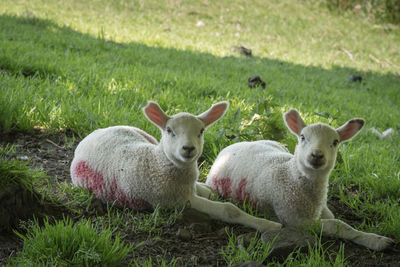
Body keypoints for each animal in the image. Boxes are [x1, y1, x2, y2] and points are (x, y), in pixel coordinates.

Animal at [69, 100, 282, 232]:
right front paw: (270, 226)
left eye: (201, 131)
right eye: (170, 130)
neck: (157, 162)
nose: (188, 148)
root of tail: (94, 134)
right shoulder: (177, 200)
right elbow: (229, 210)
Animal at [206, 108, 394, 251]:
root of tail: (229, 148)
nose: (317, 155)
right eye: (303, 137)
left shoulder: (320, 209)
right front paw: (377, 241)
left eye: (335, 142)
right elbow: (338, 225)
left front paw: (373, 238)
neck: (291, 174)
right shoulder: (296, 221)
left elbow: (337, 219)